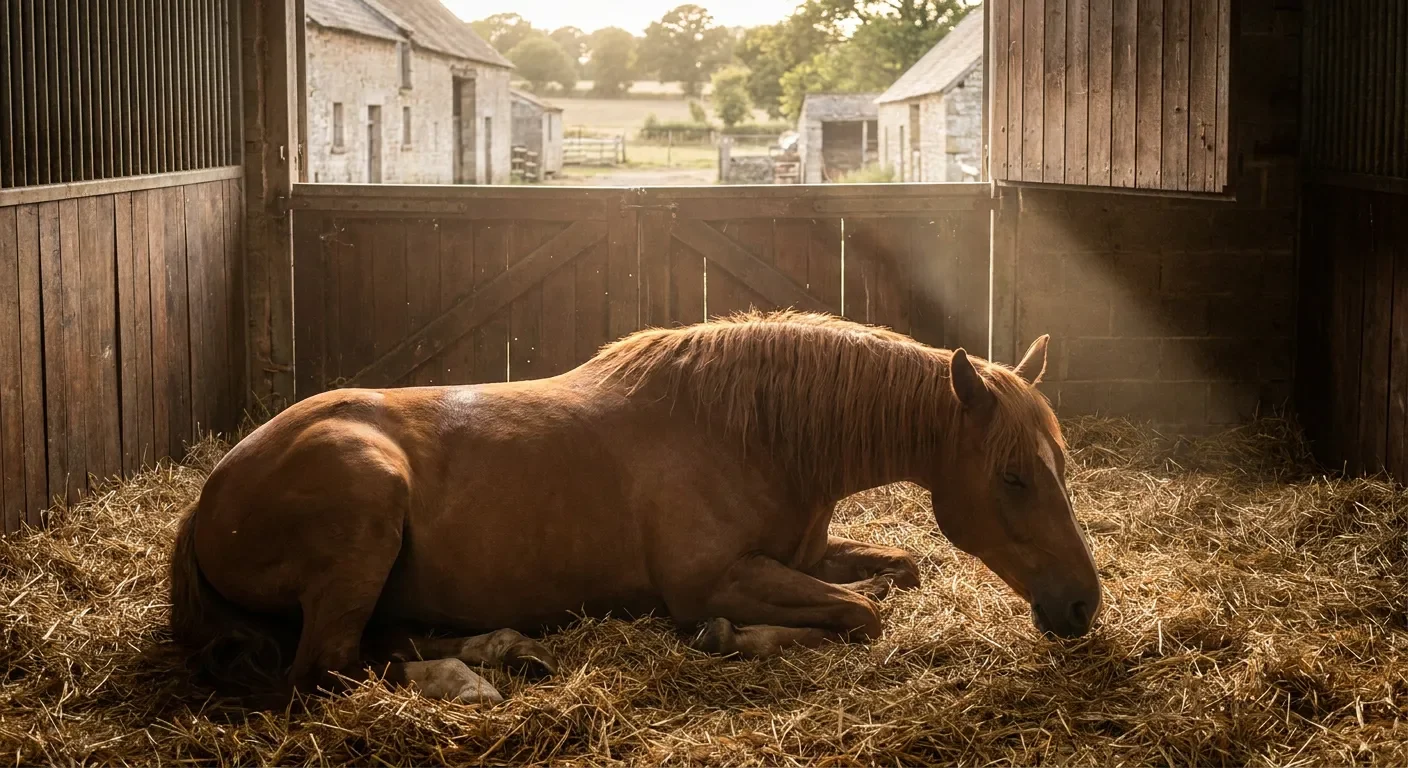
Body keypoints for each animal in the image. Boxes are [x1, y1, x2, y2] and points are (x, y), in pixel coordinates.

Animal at [169, 310, 1101, 704]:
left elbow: (897, 572)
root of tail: (212, 491)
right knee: (331, 667)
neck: (749, 432)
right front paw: (736, 637)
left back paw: (503, 650)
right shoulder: (710, 580)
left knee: (379, 642)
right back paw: (471, 679)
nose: (1082, 606)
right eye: (1014, 476)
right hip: (366, 510)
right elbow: (860, 615)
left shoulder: (800, 555)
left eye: (1057, 465)